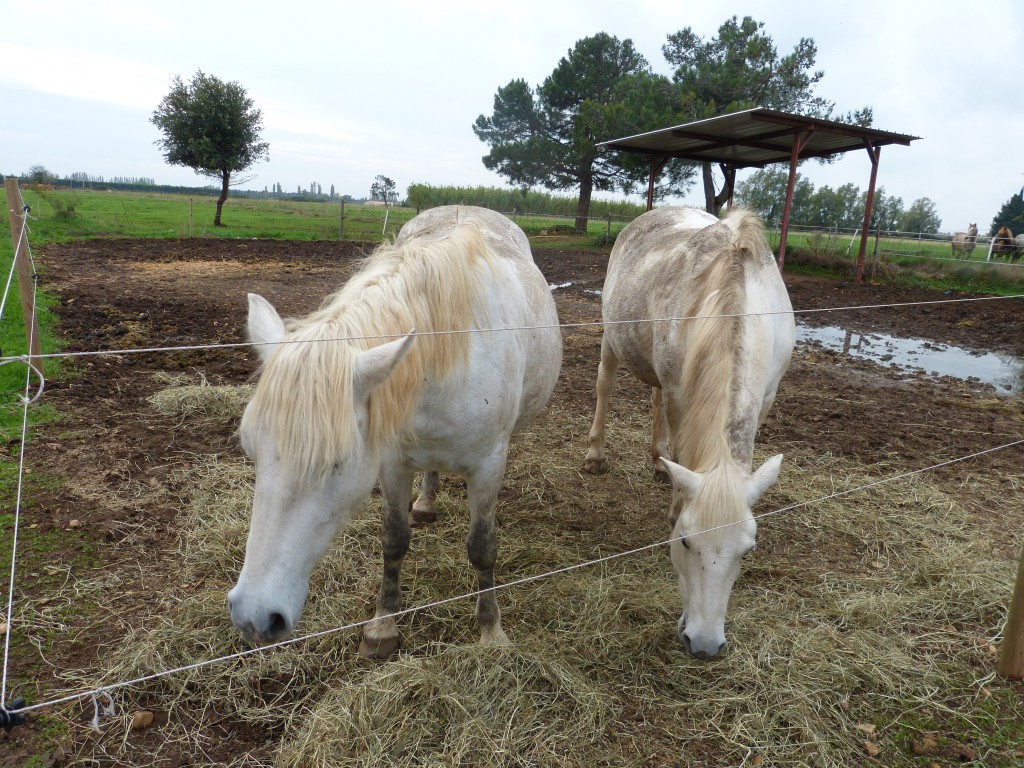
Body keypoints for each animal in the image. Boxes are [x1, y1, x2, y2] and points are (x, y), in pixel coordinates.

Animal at [229, 207, 565, 659]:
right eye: (251, 450)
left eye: (338, 464)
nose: (254, 617)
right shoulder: (391, 462)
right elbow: (394, 539)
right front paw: (382, 625)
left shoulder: (488, 465)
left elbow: (482, 547)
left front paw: (491, 631)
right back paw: (424, 502)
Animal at [585, 205, 790, 663]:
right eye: (684, 542)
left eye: (748, 550)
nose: (704, 644)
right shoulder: (682, 393)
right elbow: (684, 451)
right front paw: (675, 505)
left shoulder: (766, 396)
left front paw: (666, 469)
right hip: (612, 338)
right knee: (605, 384)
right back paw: (595, 455)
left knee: (655, 399)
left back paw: (659, 461)